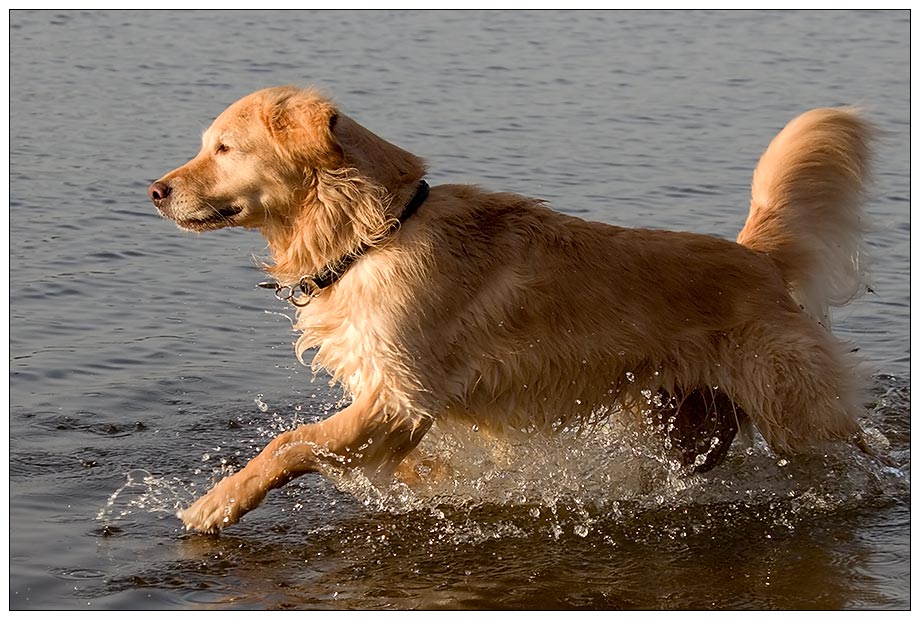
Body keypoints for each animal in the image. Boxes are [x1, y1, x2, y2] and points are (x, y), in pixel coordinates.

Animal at [147, 86, 872, 532]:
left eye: (223, 148)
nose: (154, 190)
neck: (374, 232)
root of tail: (757, 258)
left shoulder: (400, 394)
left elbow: (288, 441)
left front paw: (214, 504)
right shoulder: (394, 402)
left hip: (795, 410)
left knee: (852, 449)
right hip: (688, 422)